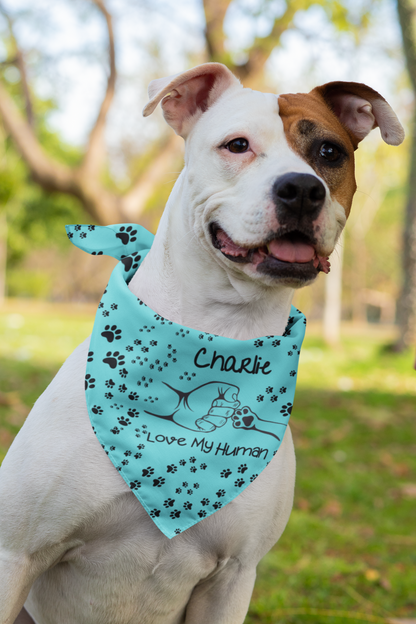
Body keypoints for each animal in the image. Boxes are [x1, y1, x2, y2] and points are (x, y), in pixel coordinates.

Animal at [0, 63, 404, 624]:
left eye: (329, 152)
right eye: (237, 145)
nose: (303, 189)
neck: (222, 328)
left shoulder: (233, 576)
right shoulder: (17, 554)